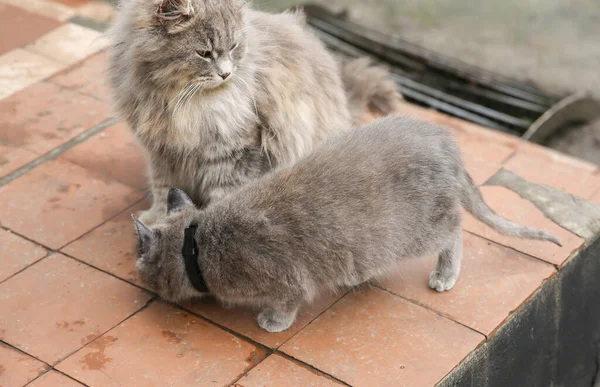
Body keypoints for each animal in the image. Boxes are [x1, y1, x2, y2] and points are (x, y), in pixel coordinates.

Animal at [109, 0, 400, 224]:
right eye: (204, 53)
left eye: (234, 46)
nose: (226, 74)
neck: (178, 101)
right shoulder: (162, 151)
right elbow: (164, 190)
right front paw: (159, 219)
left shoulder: (234, 152)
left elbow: (223, 194)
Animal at [134, 115, 560, 334]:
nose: (141, 284)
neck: (197, 242)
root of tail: (443, 139)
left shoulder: (288, 279)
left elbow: (289, 302)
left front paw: (273, 321)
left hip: (419, 229)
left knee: (455, 229)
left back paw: (445, 273)